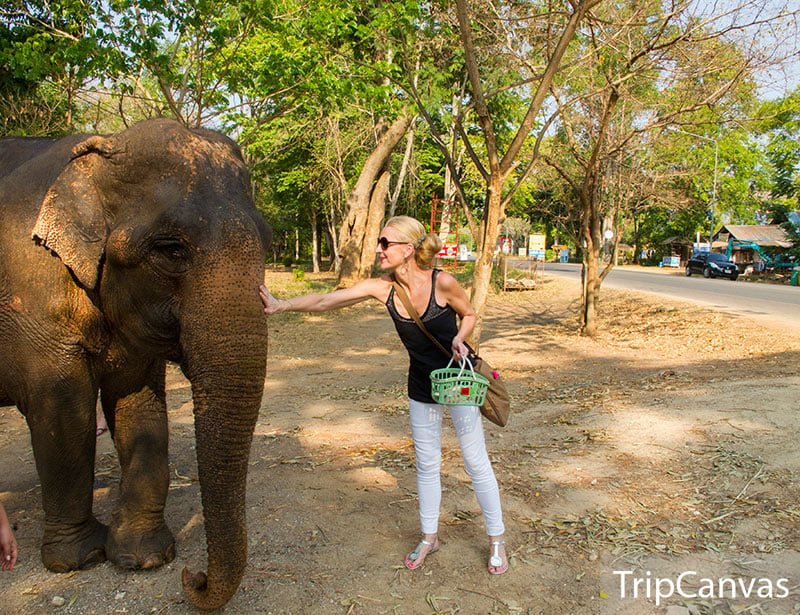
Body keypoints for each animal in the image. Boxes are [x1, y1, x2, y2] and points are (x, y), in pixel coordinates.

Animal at [0, 118, 271, 610]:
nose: (194, 577)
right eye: (170, 249)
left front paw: (144, 558)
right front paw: (79, 559)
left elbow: (139, 407)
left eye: (269, 240)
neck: (97, 152)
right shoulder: (31, 300)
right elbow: (63, 408)